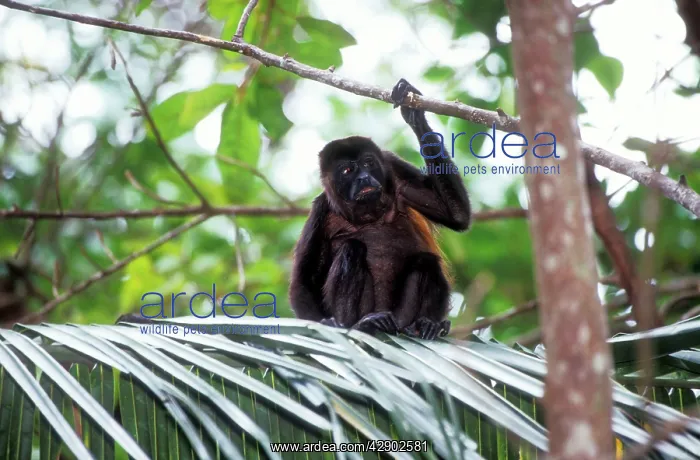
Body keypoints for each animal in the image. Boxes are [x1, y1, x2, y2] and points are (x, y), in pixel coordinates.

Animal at [289, 78, 471, 340]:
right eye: (348, 170)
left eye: (368, 163)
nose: (364, 178)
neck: (368, 214)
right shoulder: (320, 211)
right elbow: (302, 282)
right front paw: (327, 324)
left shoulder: (394, 172)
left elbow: (457, 215)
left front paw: (413, 112)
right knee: (351, 250)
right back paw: (360, 324)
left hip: (401, 315)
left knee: (426, 260)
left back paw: (427, 325)